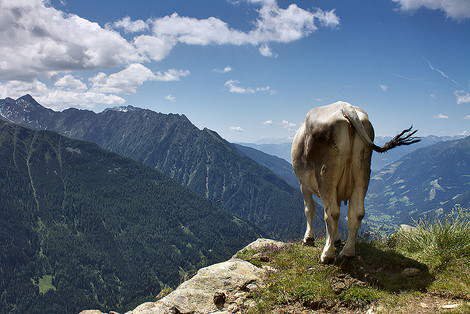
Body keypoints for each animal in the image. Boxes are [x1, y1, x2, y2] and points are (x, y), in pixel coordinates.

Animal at [292, 102, 420, 264]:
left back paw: (327, 255)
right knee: (356, 213)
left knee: (332, 213)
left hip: (326, 174)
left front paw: (308, 239)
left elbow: (309, 209)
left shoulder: (303, 184)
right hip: (362, 170)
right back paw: (347, 252)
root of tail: (346, 107)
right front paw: (336, 240)